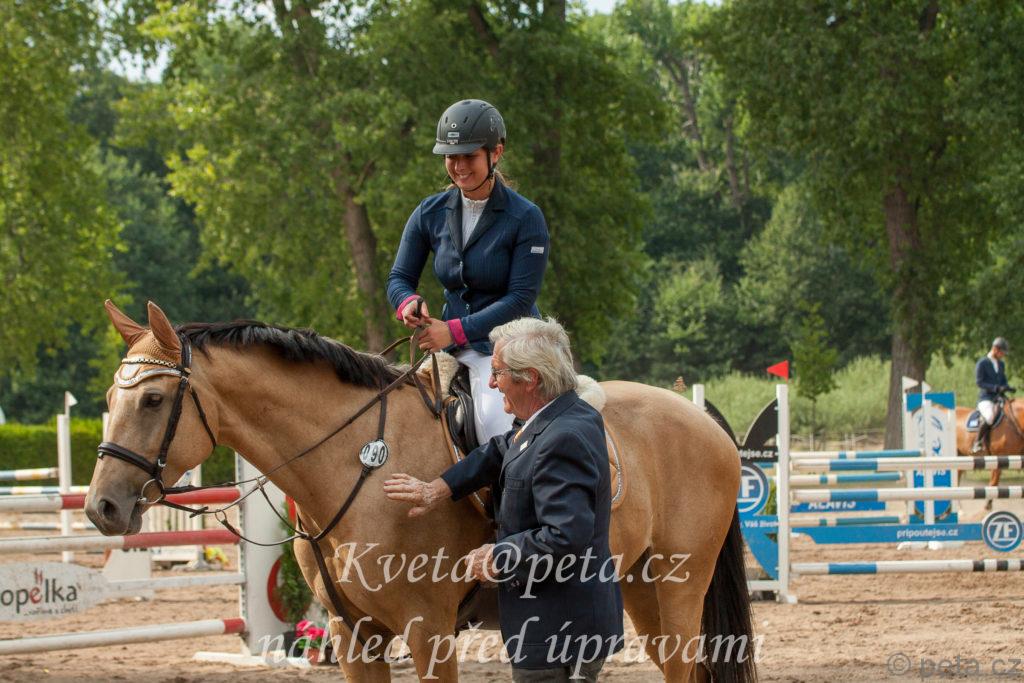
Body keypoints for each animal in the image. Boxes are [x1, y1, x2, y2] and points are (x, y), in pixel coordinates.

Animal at [84, 301, 756, 683]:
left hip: (679, 586)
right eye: (112, 398)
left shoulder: (428, 632)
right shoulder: (353, 638)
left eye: (152, 399)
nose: (101, 507)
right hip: (639, 587)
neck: (355, 466)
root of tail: (702, 419)